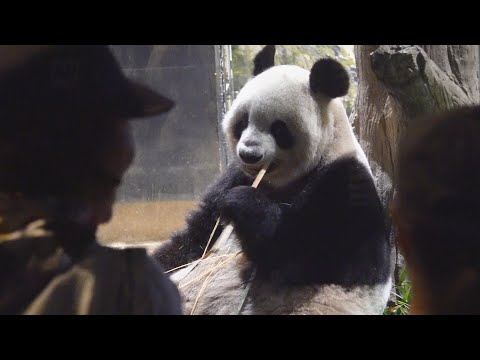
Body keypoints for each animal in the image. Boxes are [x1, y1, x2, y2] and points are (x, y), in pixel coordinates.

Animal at [156, 45, 392, 316]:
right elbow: (196, 238)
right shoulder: (235, 175)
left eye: (279, 129)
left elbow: (309, 253)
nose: (249, 154)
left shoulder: (343, 182)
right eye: (243, 121)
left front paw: (243, 203)